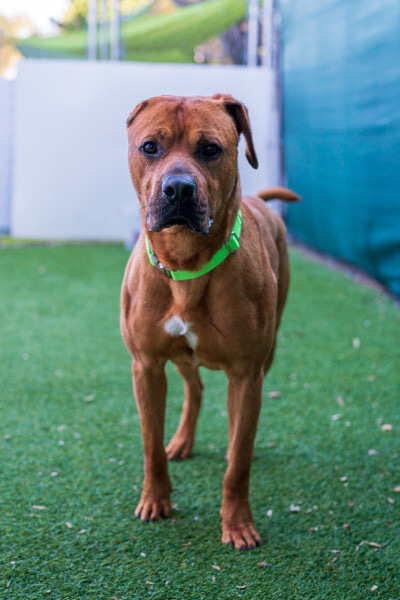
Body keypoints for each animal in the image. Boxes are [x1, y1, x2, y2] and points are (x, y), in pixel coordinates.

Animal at [120, 94, 298, 548]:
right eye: (150, 147)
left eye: (211, 149)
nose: (179, 188)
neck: (187, 265)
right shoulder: (145, 366)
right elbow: (150, 444)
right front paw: (156, 500)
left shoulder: (247, 374)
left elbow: (238, 463)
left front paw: (238, 524)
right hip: (181, 358)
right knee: (195, 387)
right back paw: (181, 441)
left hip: (268, 353)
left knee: (236, 424)